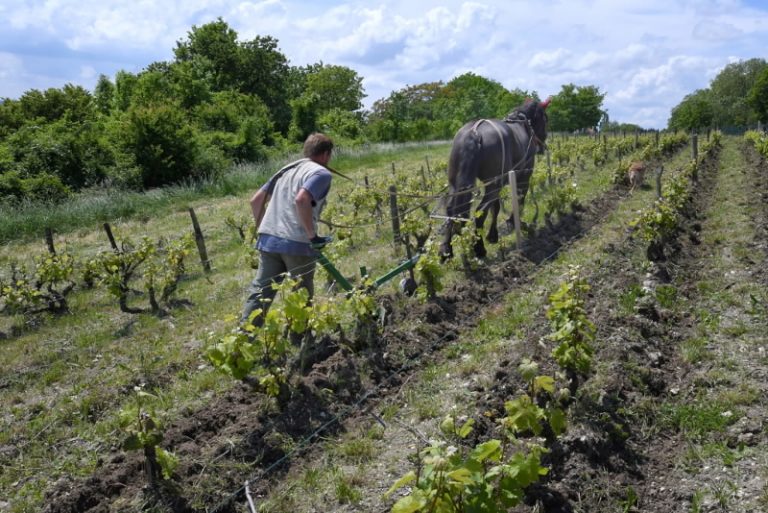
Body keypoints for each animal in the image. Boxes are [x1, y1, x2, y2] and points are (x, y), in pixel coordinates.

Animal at [438, 97, 552, 258]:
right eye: (545, 119)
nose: (541, 147)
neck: (523, 124)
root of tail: (474, 132)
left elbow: (496, 207)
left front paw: (493, 235)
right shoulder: (524, 176)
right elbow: (519, 199)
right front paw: (513, 222)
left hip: (458, 183)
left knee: (452, 211)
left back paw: (446, 249)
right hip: (494, 184)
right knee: (480, 212)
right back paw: (479, 248)